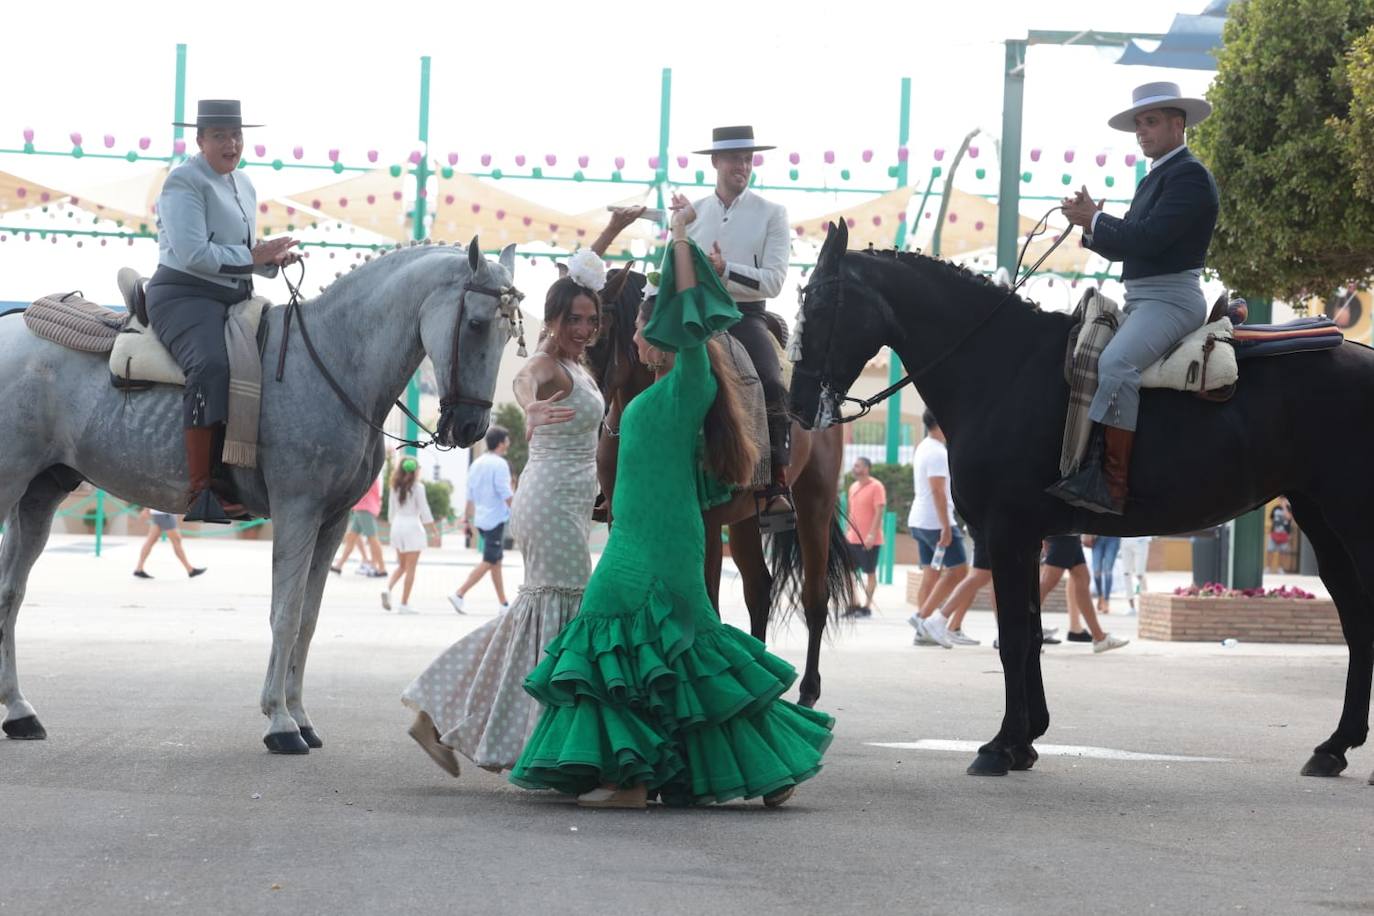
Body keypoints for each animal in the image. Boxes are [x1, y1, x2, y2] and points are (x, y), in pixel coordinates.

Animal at [0, 240, 519, 758]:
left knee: (11, 592)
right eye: (476, 324)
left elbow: (307, 619)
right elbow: (285, 615)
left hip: (38, 495)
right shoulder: (297, 510)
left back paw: (19, 712)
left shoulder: (332, 521)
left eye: (509, 333)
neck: (334, 361)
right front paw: (281, 721)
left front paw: (301, 716)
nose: (471, 428)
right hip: (11, 485)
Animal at [785, 219, 1374, 780]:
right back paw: (1334, 746)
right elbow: (1026, 632)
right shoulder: (1025, 538)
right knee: (1355, 619)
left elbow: (1013, 635)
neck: (1001, 367)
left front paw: (1000, 746)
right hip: (1321, 519)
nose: (796, 406)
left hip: (1350, 517)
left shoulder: (1008, 534)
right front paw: (1024, 741)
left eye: (821, 304)